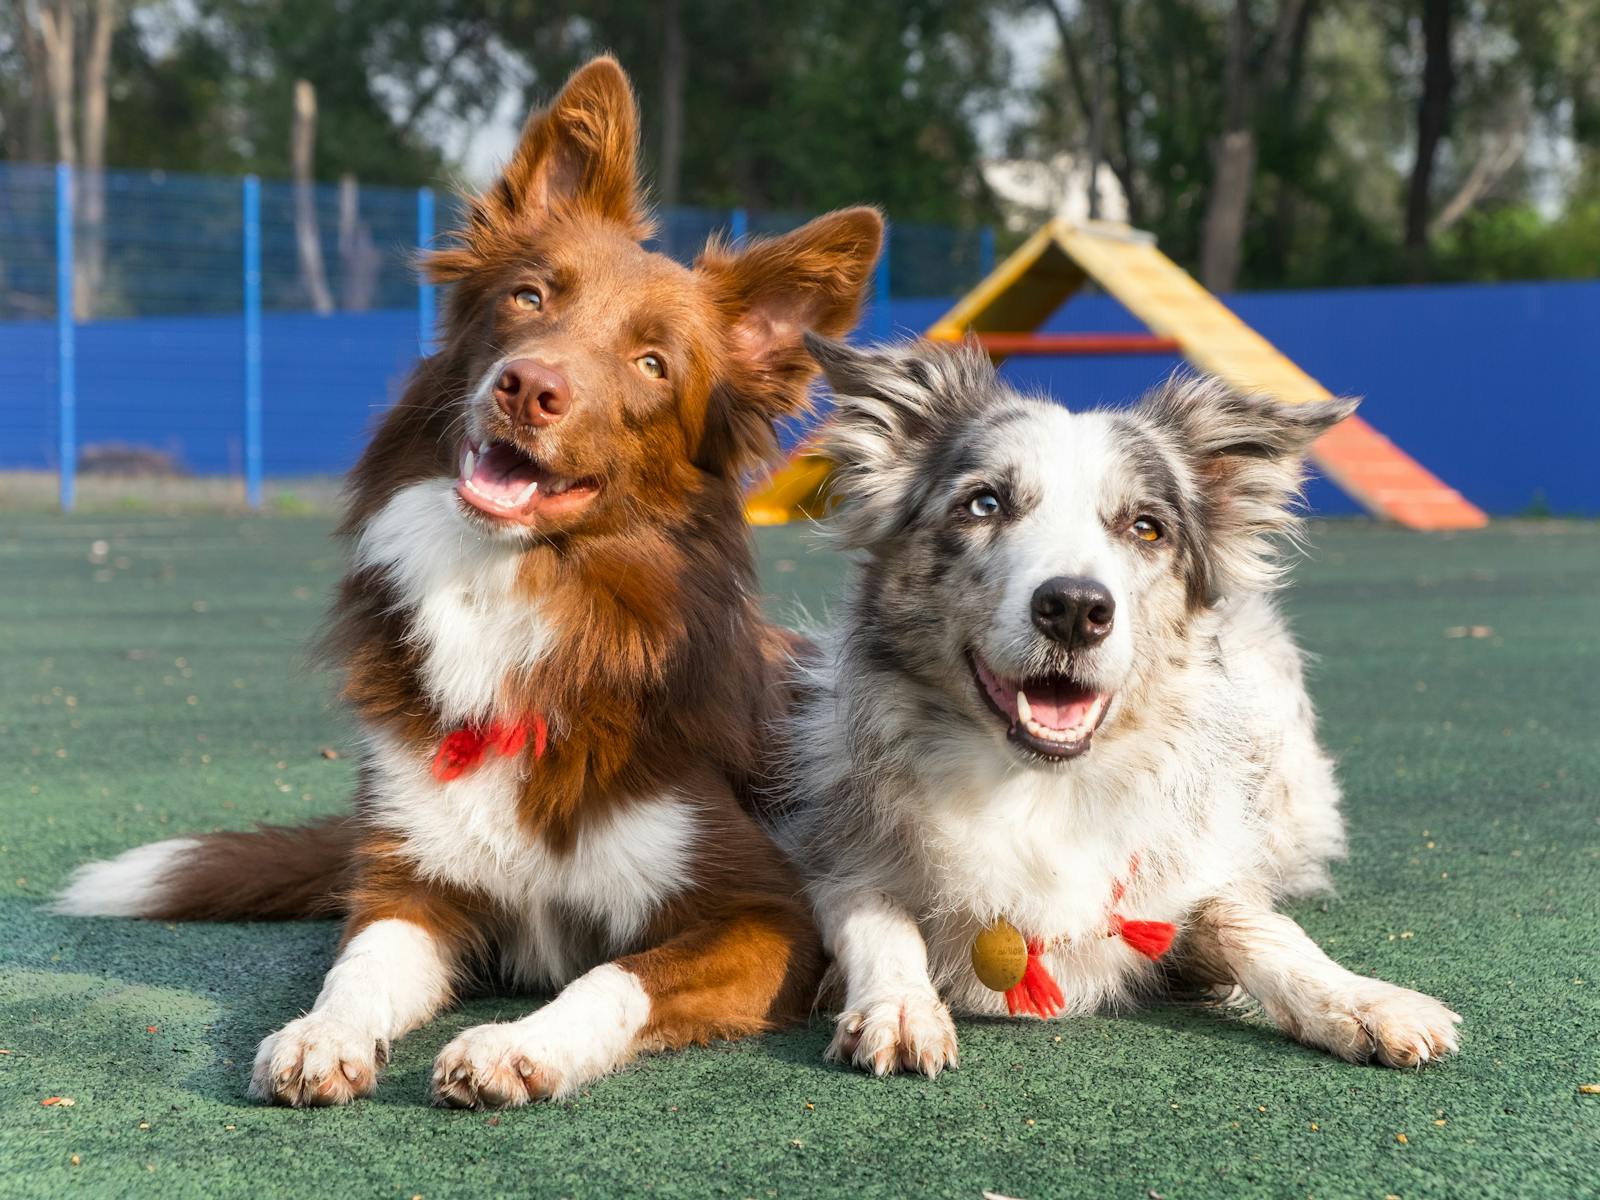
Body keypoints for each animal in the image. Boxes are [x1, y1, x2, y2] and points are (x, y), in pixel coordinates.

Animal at [59, 54, 889, 1107]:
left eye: (652, 363)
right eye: (530, 297)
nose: (528, 387)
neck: (517, 592)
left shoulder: (767, 916)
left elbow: (617, 974)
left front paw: (517, 1045)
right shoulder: (409, 882)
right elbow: (358, 964)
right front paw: (320, 1035)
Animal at [774, 336, 1465, 1081]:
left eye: (1146, 528)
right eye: (984, 504)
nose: (1075, 608)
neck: (1038, 790)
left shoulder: (1197, 868)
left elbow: (1257, 922)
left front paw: (1361, 1001)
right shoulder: (817, 850)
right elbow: (874, 911)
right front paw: (900, 1004)